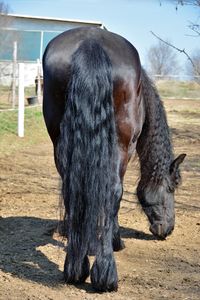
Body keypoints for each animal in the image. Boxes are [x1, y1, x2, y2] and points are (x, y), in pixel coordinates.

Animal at [42, 27, 186, 292]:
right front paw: (115, 240)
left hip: (59, 141)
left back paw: (75, 268)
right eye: (172, 187)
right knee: (112, 191)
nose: (167, 229)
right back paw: (106, 274)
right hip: (122, 145)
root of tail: (90, 43)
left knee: (72, 189)